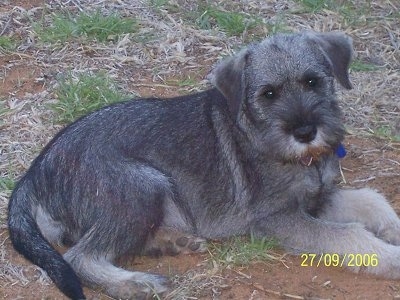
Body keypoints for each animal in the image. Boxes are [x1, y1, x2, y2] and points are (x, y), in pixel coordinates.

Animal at [7, 31, 400, 300]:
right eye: (268, 94)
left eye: (313, 81)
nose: (305, 132)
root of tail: (36, 170)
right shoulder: (277, 217)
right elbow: (348, 234)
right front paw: (391, 258)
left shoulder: (318, 199)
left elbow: (372, 200)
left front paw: (393, 231)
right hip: (140, 185)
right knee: (79, 256)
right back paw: (136, 283)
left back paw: (169, 242)